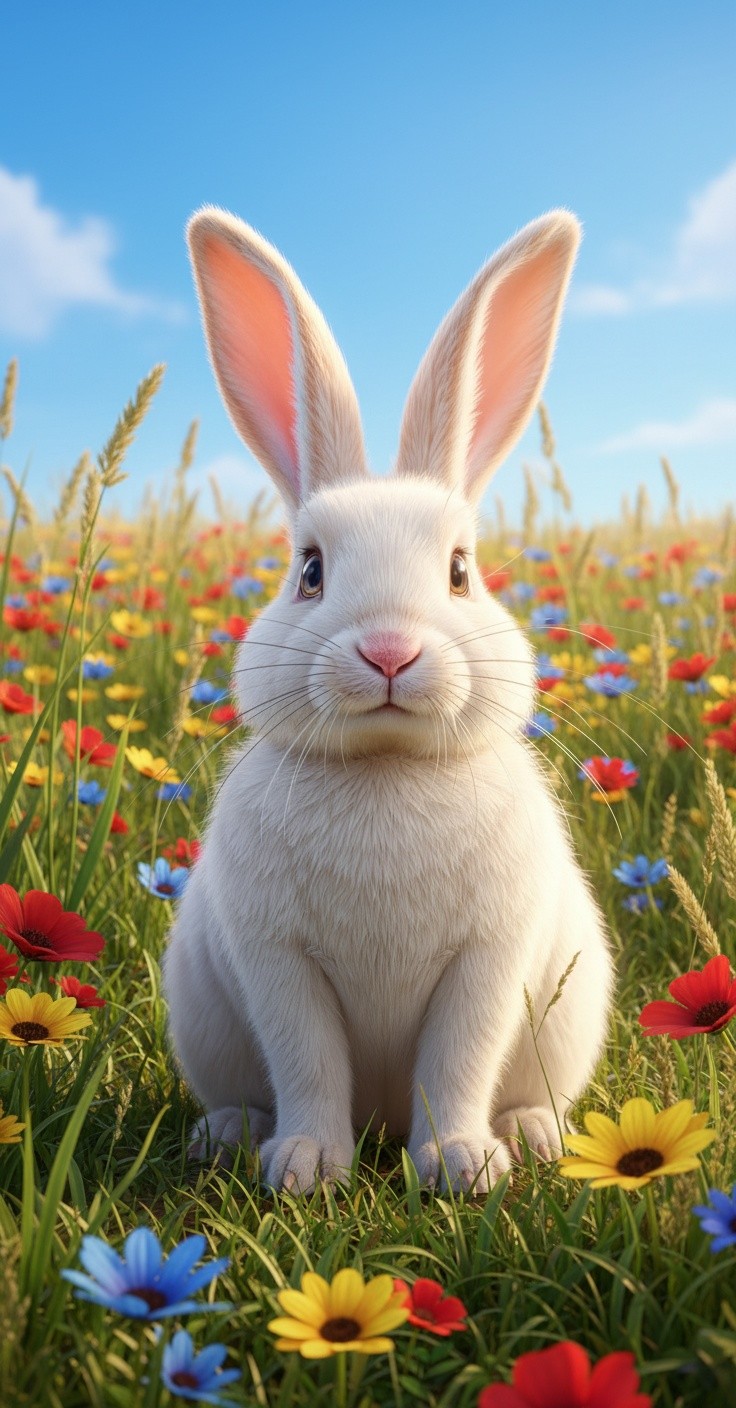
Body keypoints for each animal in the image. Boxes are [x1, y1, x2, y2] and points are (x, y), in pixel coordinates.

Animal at [162, 204, 613, 1195]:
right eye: (310, 571)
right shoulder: (280, 965)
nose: (389, 652)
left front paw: (460, 1167)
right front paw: (305, 1167)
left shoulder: (486, 964)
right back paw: (229, 1132)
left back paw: (532, 1135)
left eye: (460, 570)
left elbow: (458, 1061)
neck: (387, 768)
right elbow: (308, 1062)